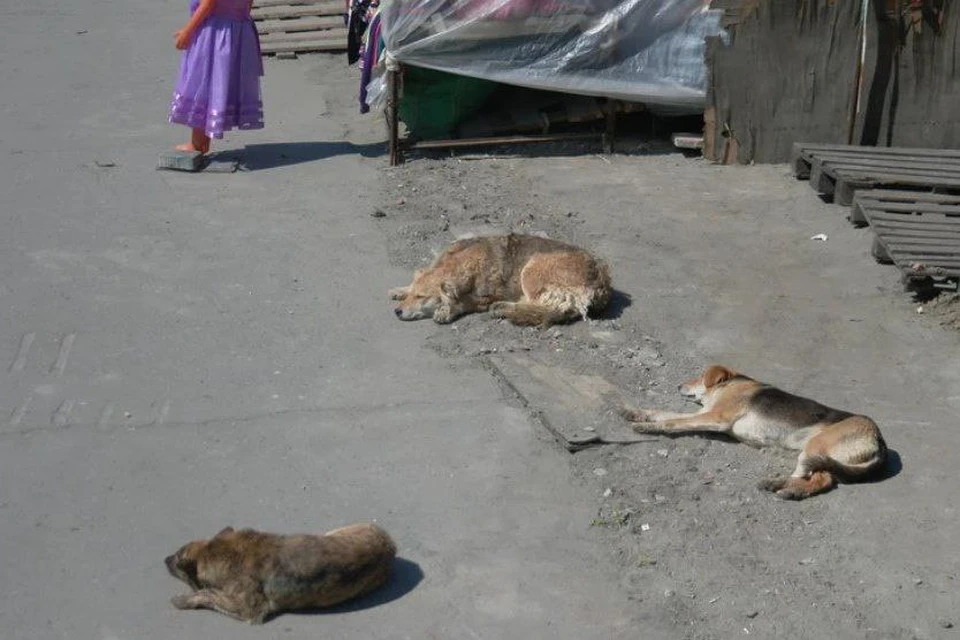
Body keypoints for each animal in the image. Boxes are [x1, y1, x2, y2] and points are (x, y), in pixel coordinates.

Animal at [169, 524, 398, 624]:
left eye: (177, 557)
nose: (164, 560)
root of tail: (390, 545)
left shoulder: (248, 609)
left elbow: (207, 593)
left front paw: (184, 599)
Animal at [394, 232, 612, 328]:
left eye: (421, 297)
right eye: (413, 295)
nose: (397, 311)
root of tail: (603, 280)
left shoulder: (484, 297)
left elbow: (465, 302)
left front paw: (446, 309)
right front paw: (399, 290)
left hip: (532, 268)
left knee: (547, 308)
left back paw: (505, 308)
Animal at [620, 364, 888, 500]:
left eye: (699, 377)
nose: (678, 386)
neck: (732, 383)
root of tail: (879, 438)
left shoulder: (716, 418)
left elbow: (673, 422)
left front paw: (649, 427)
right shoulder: (705, 415)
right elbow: (666, 413)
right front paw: (639, 413)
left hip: (815, 448)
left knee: (809, 476)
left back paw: (778, 483)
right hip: (823, 456)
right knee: (821, 480)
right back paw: (787, 489)